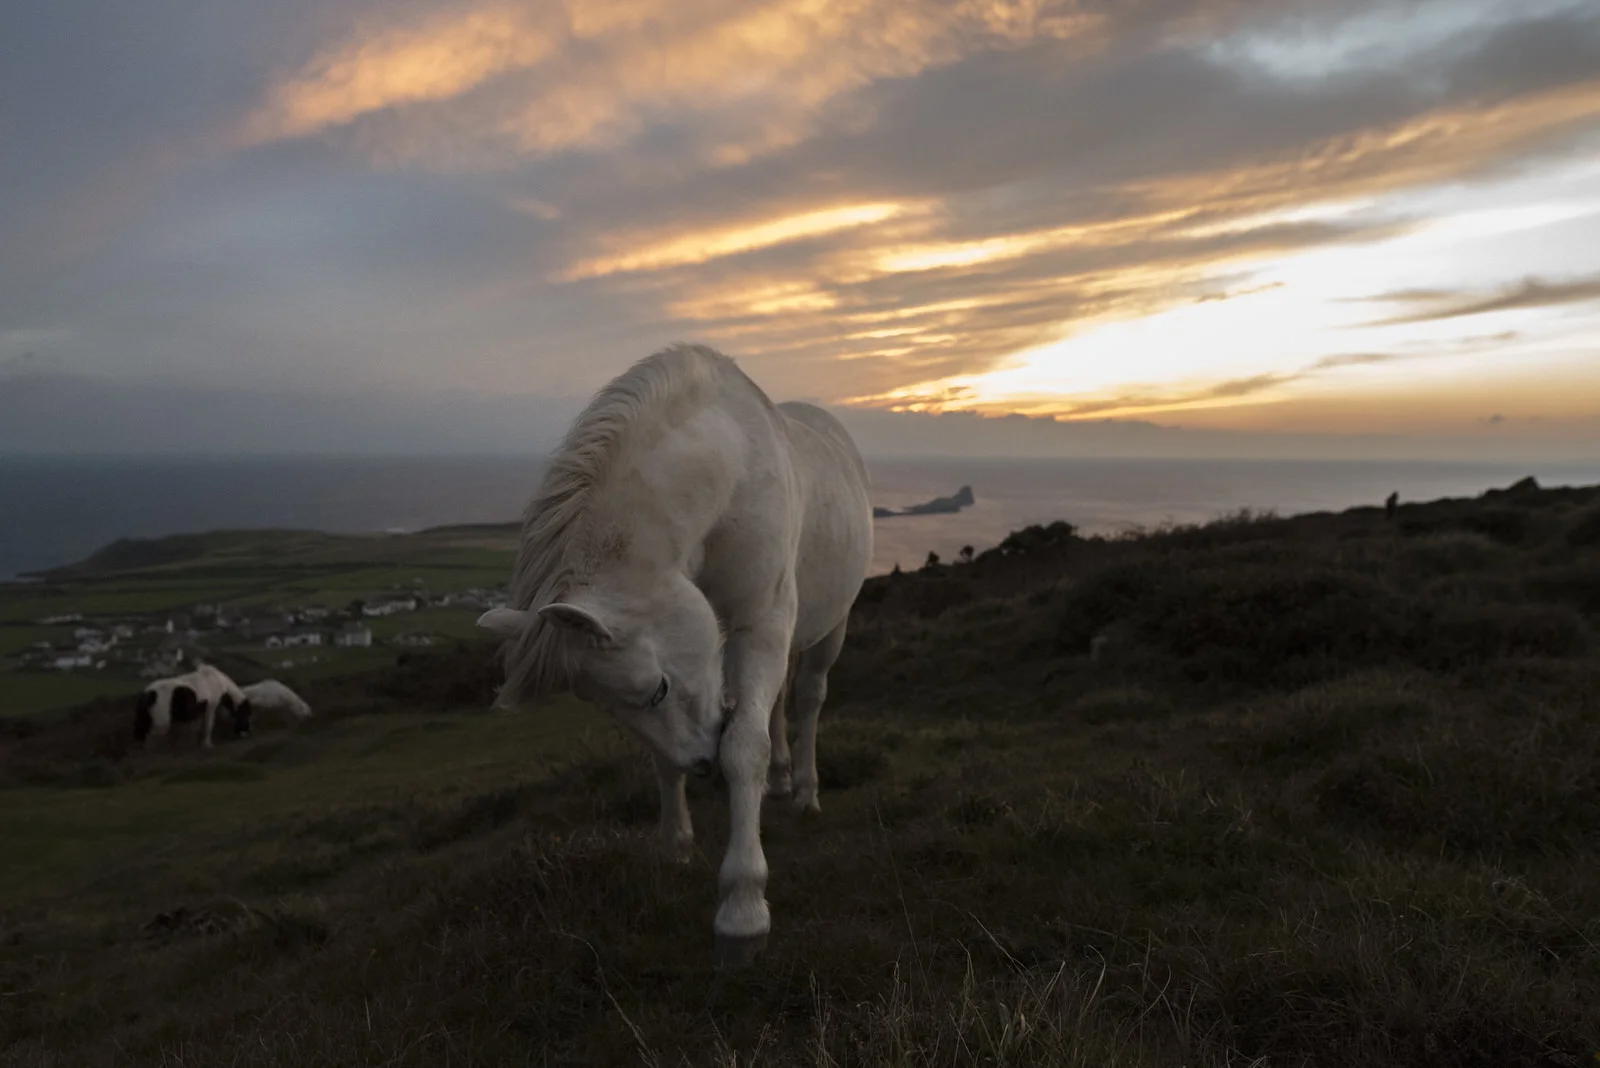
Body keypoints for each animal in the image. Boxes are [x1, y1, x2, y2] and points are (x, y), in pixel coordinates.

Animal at [476, 342, 873, 968]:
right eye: (619, 706)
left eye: (657, 688)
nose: (704, 764)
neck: (733, 473)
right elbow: (669, 755)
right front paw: (676, 845)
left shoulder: (760, 625)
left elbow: (745, 745)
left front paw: (743, 912)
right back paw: (781, 780)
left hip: (830, 625)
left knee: (809, 699)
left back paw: (805, 791)